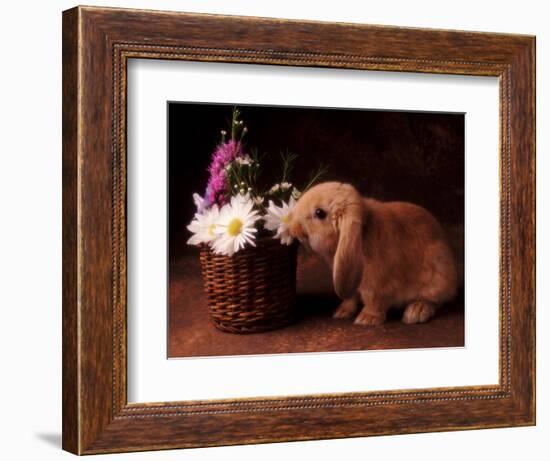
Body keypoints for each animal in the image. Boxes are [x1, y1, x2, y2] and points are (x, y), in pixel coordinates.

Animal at [288, 181, 462, 326]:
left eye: (319, 213)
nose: (291, 226)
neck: (363, 231)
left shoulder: (376, 284)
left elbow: (373, 300)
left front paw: (366, 319)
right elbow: (350, 297)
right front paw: (341, 312)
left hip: (437, 276)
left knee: (435, 300)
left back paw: (416, 312)